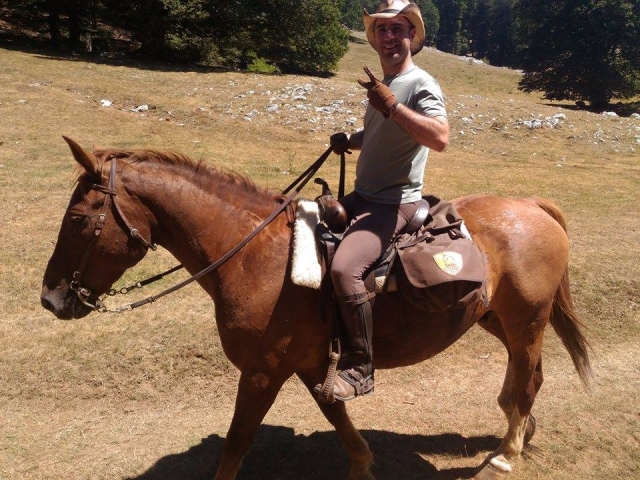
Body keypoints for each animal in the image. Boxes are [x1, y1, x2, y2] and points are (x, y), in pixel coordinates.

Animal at [41, 137, 592, 480]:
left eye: (77, 218)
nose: (50, 298)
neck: (252, 255)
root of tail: (533, 205)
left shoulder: (262, 371)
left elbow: (238, 441)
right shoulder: (307, 363)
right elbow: (335, 414)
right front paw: (362, 463)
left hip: (525, 321)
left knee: (527, 378)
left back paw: (507, 454)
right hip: (496, 319)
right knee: (528, 376)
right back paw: (516, 430)